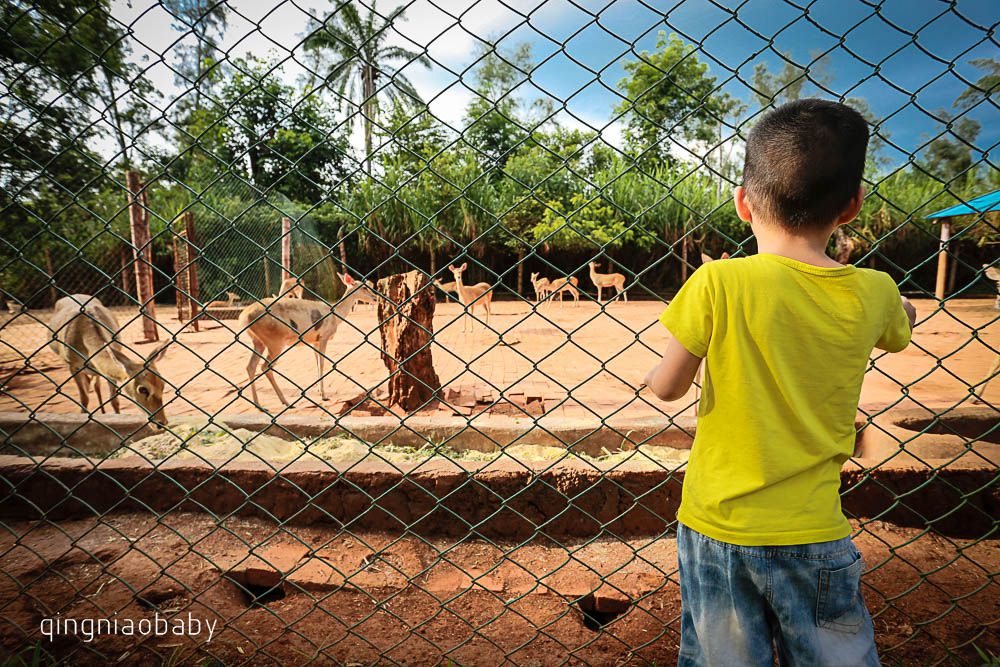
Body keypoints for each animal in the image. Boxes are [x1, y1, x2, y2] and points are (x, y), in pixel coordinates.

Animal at [48, 294, 171, 426]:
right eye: (142, 389)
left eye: (163, 385)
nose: (161, 423)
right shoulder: (73, 366)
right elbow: (84, 398)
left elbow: (114, 401)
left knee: (95, 384)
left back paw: (102, 411)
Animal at [238, 272, 378, 408]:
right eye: (364, 287)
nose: (375, 298)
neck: (335, 315)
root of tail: (244, 316)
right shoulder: (324, 337)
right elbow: (322, 364)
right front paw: (324, 395)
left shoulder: (315, 341)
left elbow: (317, 364)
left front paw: (319, 391)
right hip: (275, 342)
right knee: (265, 367)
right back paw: (285, 402)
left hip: (258, 341)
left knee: (250, 366)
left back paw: (257, 403)